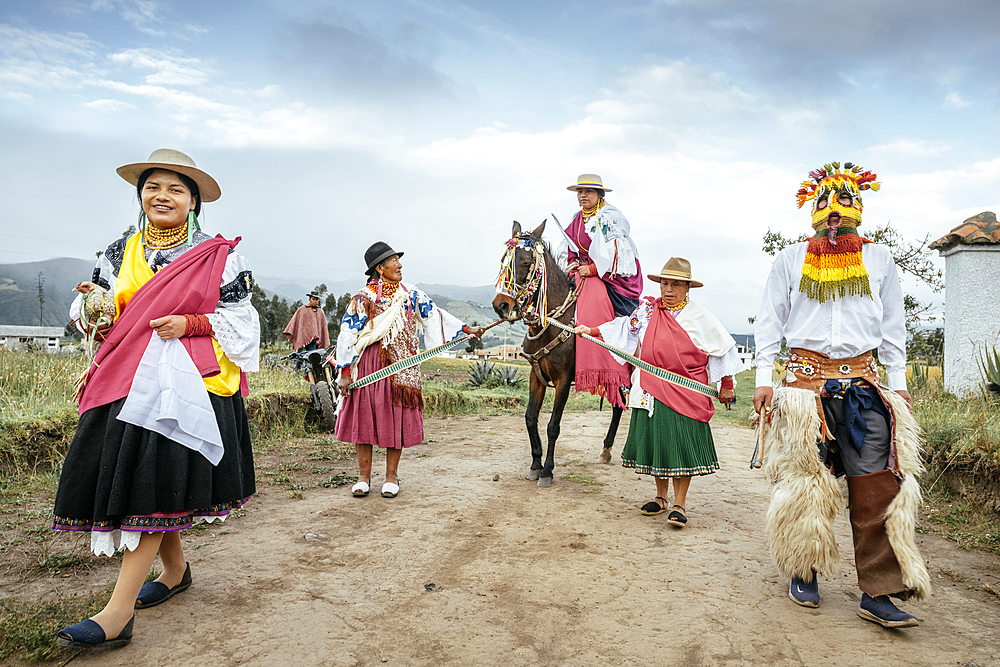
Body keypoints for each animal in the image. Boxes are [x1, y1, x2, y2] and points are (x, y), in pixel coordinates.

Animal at [494, 222, 624, 488]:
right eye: (503, 261)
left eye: (525, 262)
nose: (501, 306)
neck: (554, 322)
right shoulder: (536, 376)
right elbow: (530, 418)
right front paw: (535, 464)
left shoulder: (563, 380)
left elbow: (553, 425)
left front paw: (547, 471)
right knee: (618, 406)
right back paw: (606, 450)